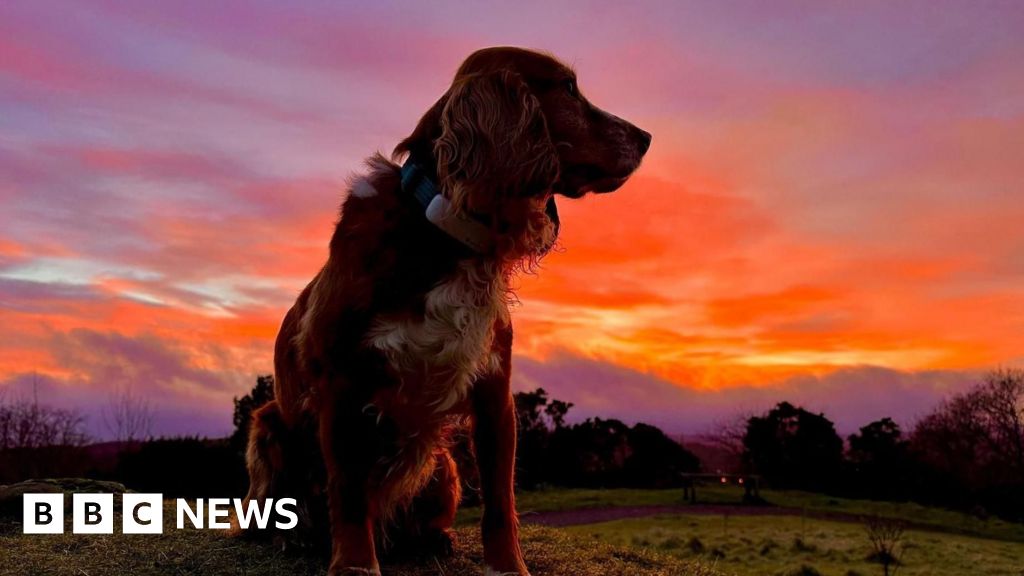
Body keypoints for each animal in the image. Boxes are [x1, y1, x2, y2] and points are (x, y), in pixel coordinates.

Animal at [241, 47, 647, 569]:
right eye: (569, 88)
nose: (645, 137)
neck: (442, 229)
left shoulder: (495, 389)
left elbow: (500, 500)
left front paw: (510, 566)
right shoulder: (341, 382)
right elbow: (347, 494)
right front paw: (354, 564)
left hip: (442, 465)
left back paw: (433, 539)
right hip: (269, 425)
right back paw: (292, 538)